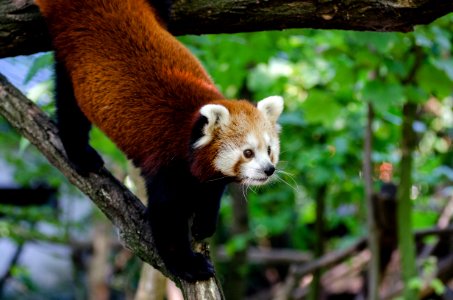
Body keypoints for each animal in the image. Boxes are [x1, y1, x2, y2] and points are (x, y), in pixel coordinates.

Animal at [35, 0, 282, 282]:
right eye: (248, 152)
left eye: (270, 150)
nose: (269, 169)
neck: (190, 130)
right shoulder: (167, 163)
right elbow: (167, 216)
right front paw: (188, 264)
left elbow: (210, 192)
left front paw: (204, 222)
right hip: (70, 56)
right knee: (69, 105)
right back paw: (81, 154)